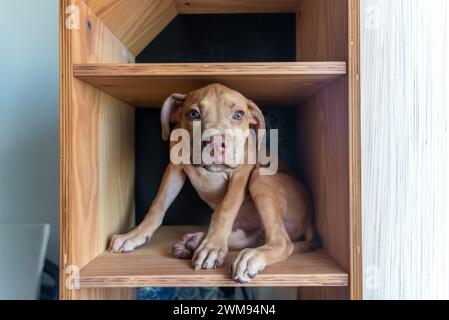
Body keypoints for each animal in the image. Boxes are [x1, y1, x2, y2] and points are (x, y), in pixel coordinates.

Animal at [109, 83, 318, 282]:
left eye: (238, 114)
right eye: (193, 114)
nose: (216, 143)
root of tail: (310, 220)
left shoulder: (241, 173)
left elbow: (224, 210)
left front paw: (213, 247)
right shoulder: (174, 168)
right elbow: (157, 205)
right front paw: (134, 235)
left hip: (260, 177)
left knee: (282, 242)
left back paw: (245, 256)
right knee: (253, 236)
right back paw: (194, 242)